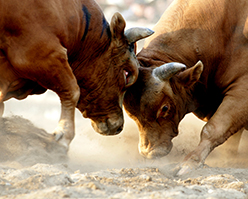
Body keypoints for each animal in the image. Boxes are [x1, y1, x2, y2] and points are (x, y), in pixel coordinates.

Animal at [124, 0, 248, 175]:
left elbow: (213, 129)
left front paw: (190, 162)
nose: (150, 153)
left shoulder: (243, 92)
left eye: (165, 108)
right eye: (130, 112)